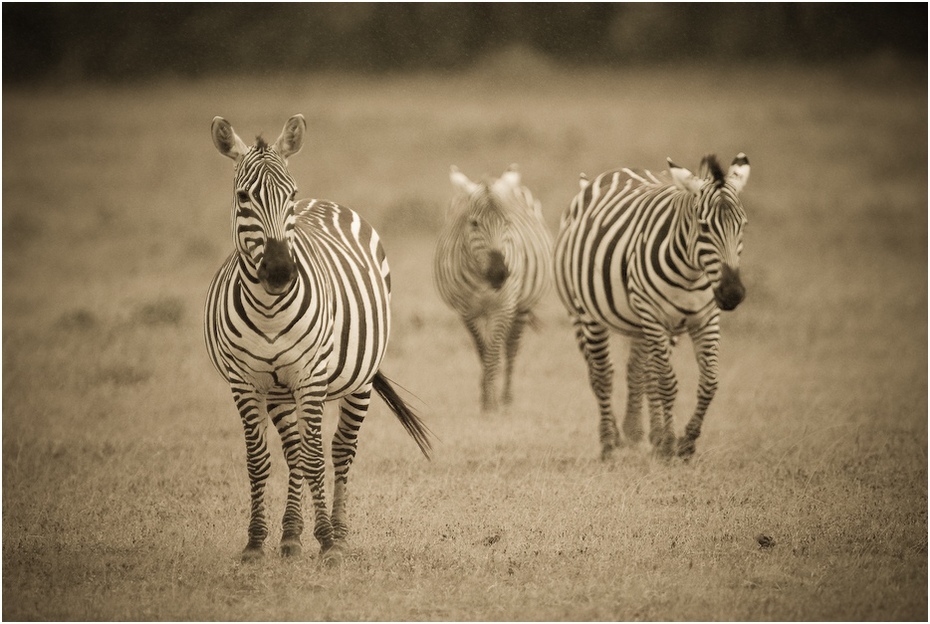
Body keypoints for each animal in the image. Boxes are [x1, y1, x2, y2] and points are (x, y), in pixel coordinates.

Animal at [203, 114, 432, 564]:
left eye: (290, 194)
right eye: (243, 196)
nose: (279, 271)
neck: (269, 310)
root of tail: (325, 203)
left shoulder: (310, 377)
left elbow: (315, 458)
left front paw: (326, 540)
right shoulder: (245, 383)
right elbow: (259, 460)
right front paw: (256, 541)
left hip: (356, 380)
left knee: (339, 449)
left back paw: (338, 533)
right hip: (280, 390)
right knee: (293, 451)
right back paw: (291, 534)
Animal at [434, 163, 552, 412]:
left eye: (507, 222)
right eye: (474, 223)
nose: (499, 273)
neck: (483, 279)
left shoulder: (504, 306)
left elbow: (494, 353)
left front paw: (493, 402)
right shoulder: (467, 311)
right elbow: (482, 351)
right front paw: (487, 398)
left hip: (522, 306)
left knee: (511, 348)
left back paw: (507, 397)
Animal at [556, 154, 752, 460]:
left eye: (742, 225)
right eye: (704, 226)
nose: (732, 294)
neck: (692, 273)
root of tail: (619, 170)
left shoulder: (706, 319)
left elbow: (708, 382)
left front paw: (685, 441)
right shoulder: (654, 316)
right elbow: (666, 383)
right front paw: (671, 444)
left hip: (643, 325)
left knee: (641, 371)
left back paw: (641, 433)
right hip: (585, 313)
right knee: (601, 374)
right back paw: (609, 442)